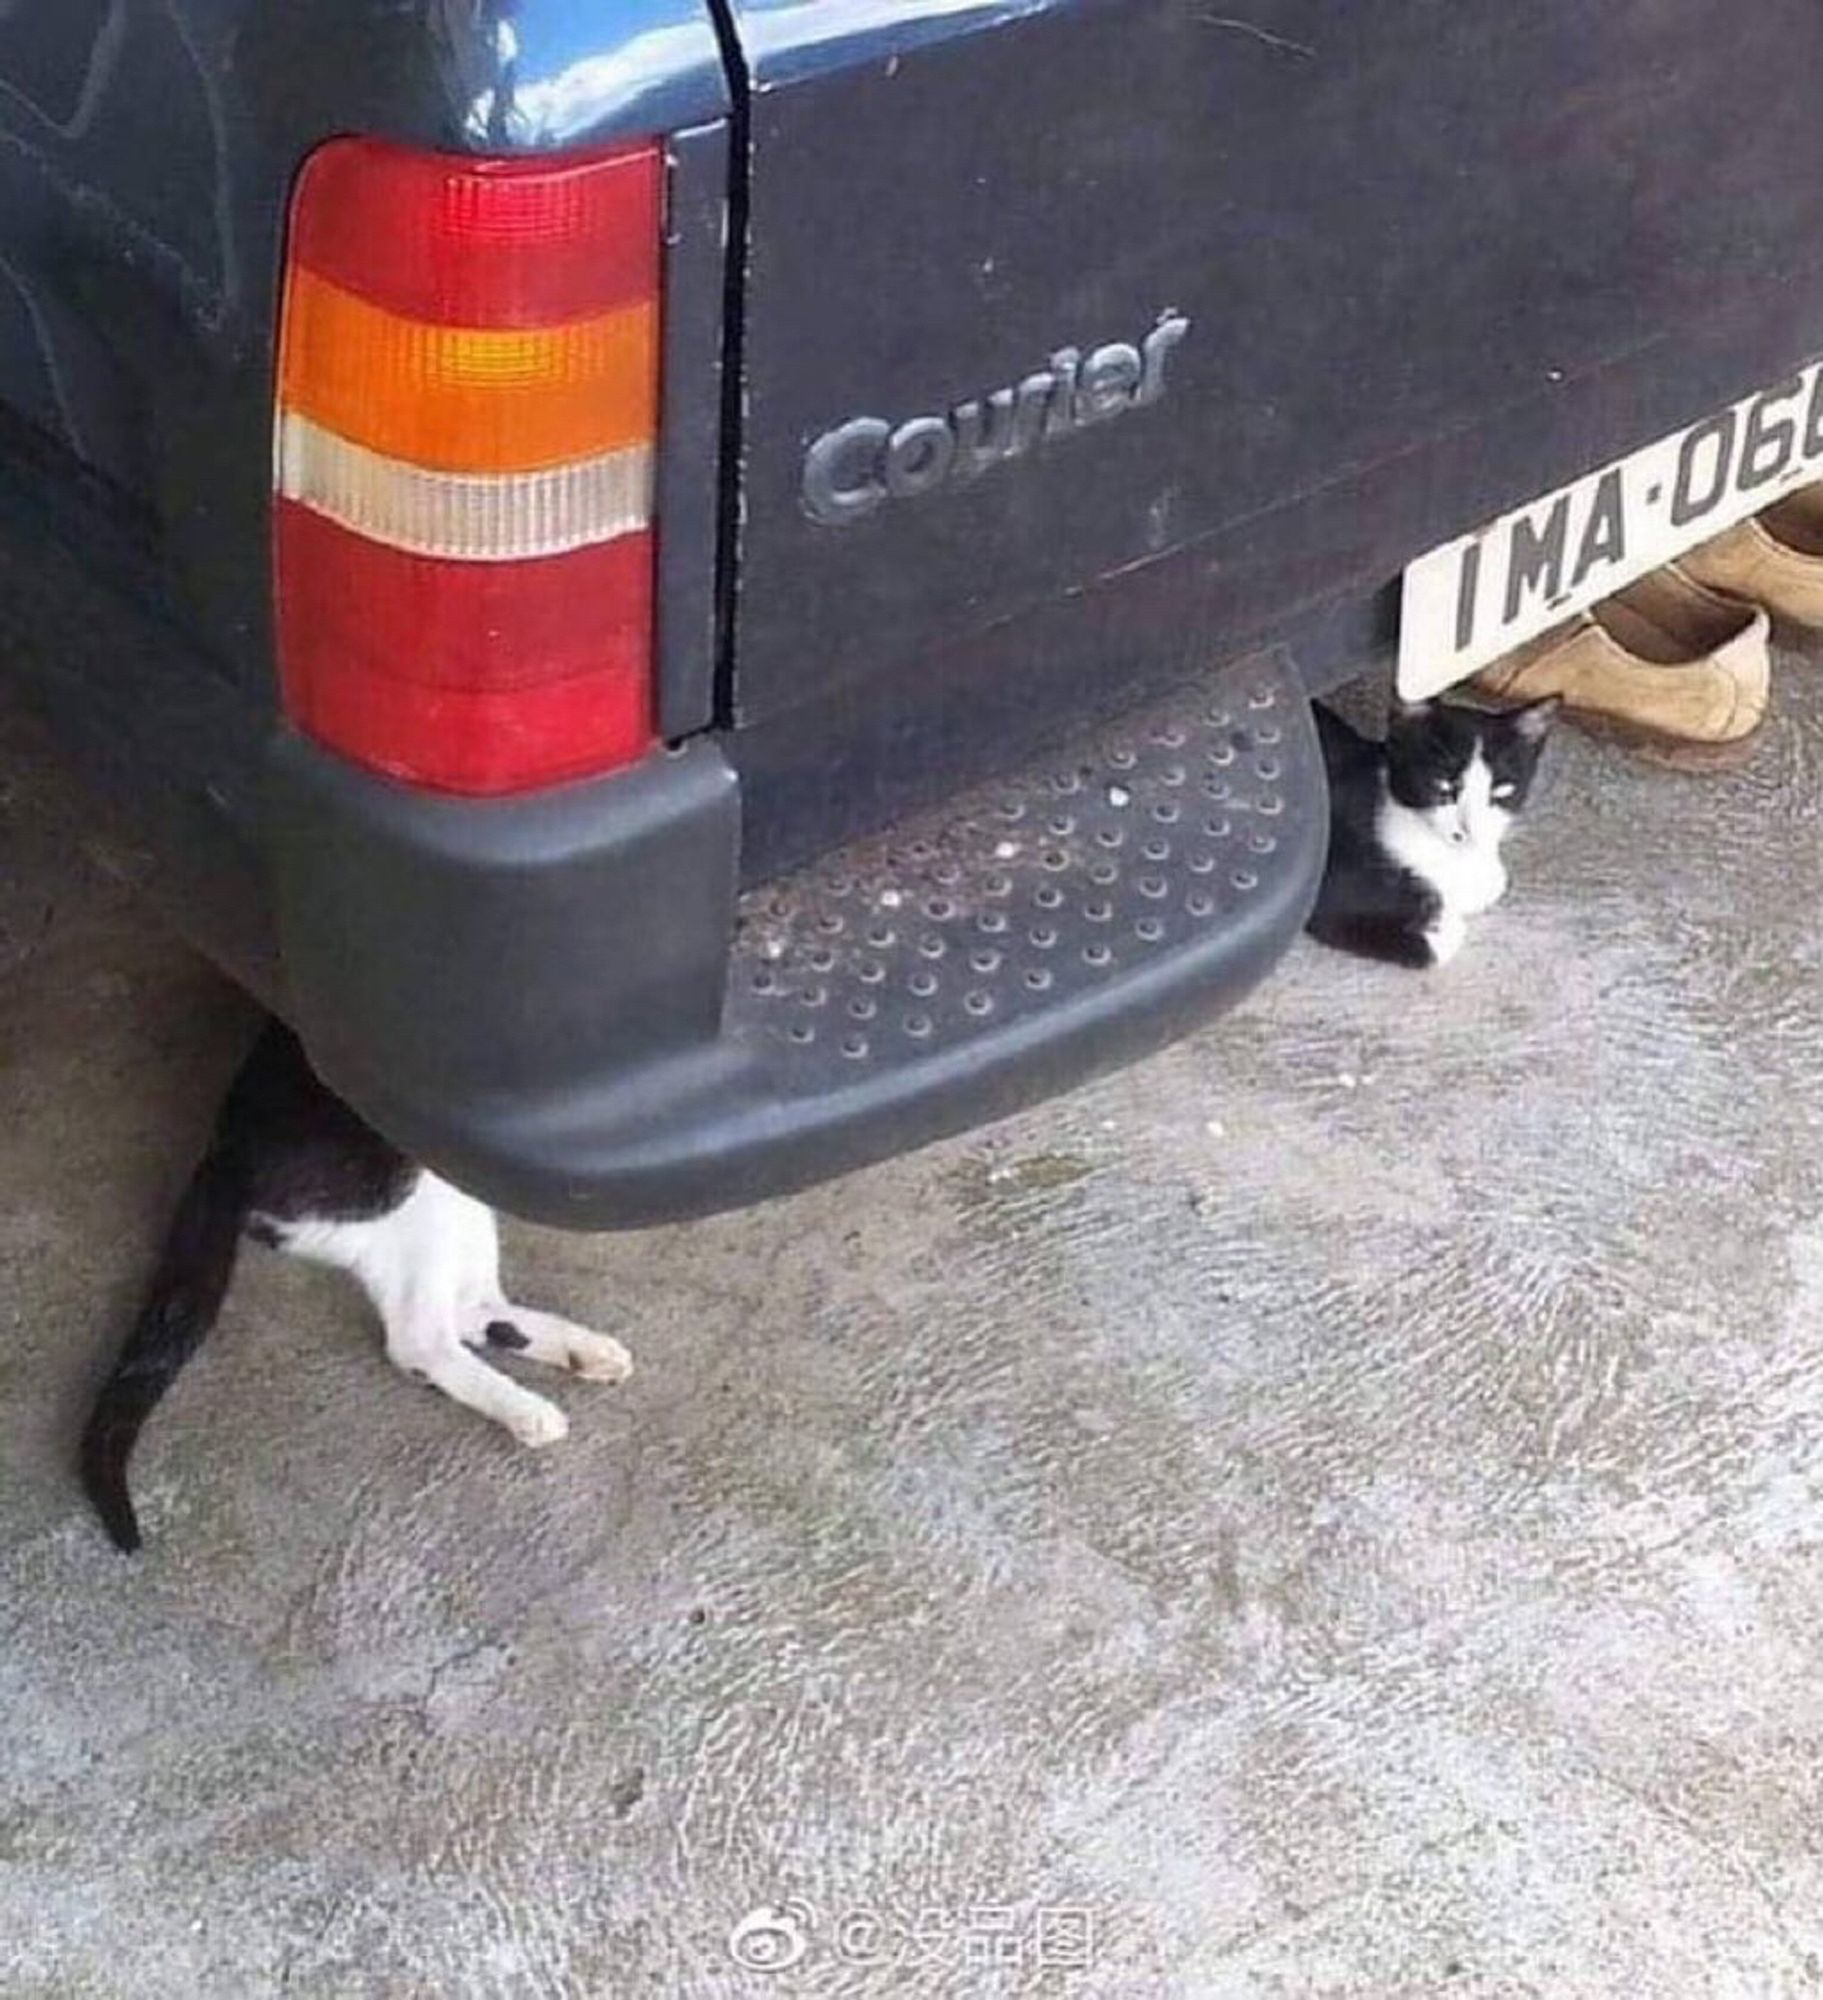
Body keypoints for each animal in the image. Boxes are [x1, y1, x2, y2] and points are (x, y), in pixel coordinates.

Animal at [81, 1024, 631, 1552]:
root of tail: (224, 1154)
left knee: (470, 1310)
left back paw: (583, 1353)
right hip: (411, 1173)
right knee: (419, 1337)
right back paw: (527, 1410)